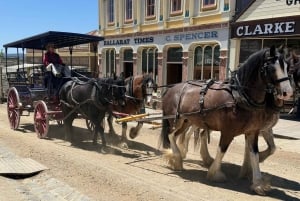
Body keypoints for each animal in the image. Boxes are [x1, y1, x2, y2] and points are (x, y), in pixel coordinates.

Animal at [159, 46, 292, 195]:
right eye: (271, 68)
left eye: (287, 66)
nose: (288, 92)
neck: (239, 96)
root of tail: (171, 88)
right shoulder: (228, 131)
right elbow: (221, 150)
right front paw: (215, 173)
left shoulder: (253, 132)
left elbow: (255, 154)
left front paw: (258, 183)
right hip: (175, 119)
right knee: (171, 134)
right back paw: (177, 158)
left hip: (187, 121)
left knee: (176, 136)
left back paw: (176, 157)